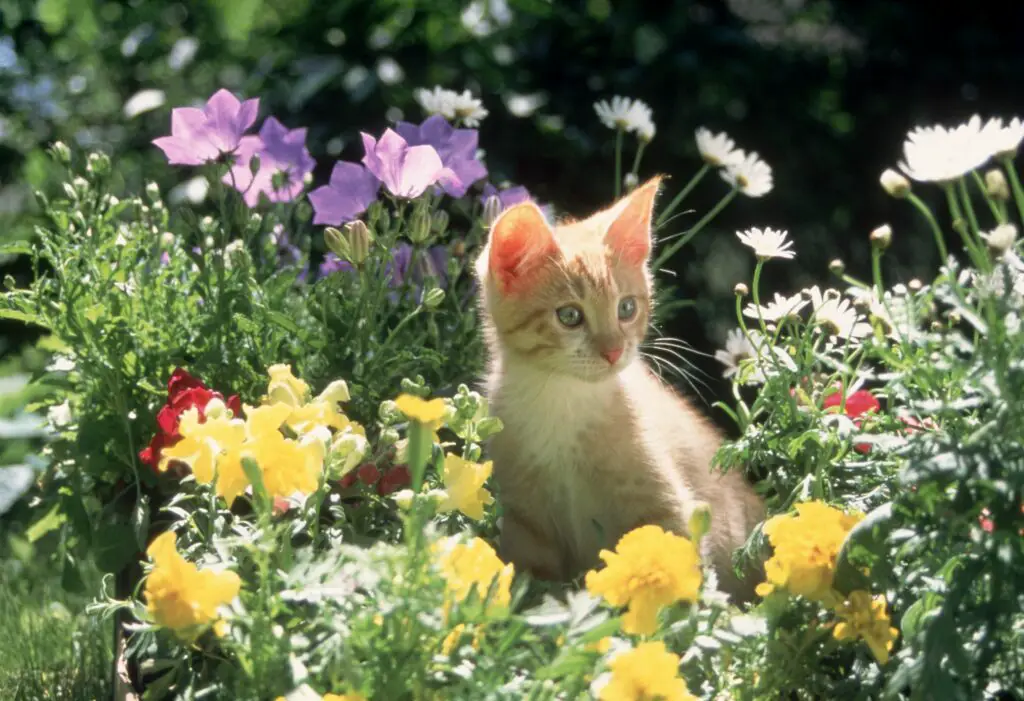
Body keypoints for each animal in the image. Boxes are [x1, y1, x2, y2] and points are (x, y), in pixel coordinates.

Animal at [471, 174, 761, 597]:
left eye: (626, 308)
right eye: (569, 316)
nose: (614, 351)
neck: (562, 399)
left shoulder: (666, 507)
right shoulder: (524, 521)